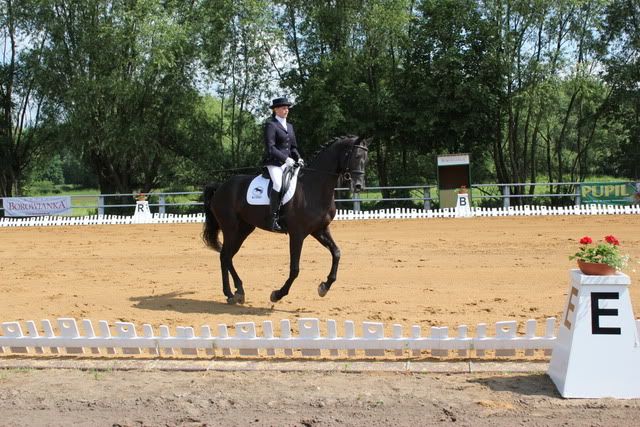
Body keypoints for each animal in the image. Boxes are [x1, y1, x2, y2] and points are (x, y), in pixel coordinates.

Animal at [202, 135, 371, 304]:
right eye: (356, 156)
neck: (313, 187)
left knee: (226, 256)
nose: (358, 186)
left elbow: (336, 253)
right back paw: (234, 292)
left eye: (366, 158)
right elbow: (295, 269)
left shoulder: (319, 230)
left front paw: (324, 286)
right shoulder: (297, 234)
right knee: (225, 256)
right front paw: (277, 294)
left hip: (244, 229)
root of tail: (220, 187)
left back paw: (234, 292)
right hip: (230, 228)